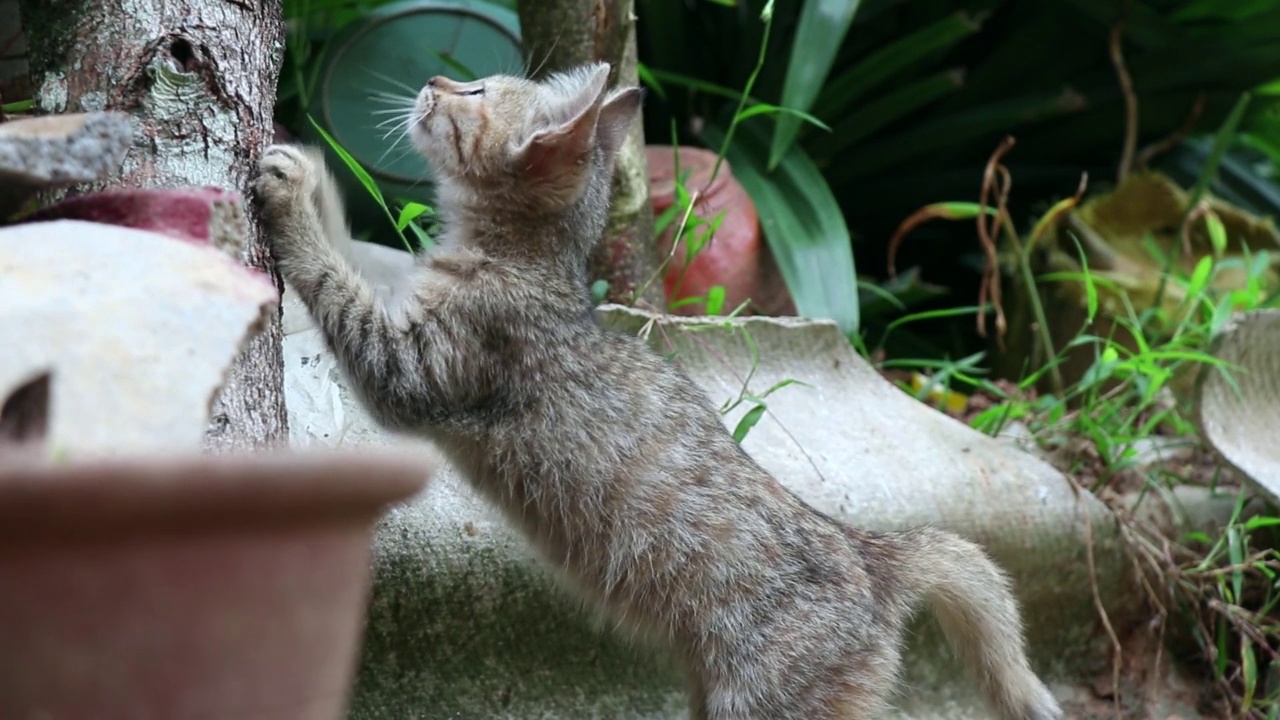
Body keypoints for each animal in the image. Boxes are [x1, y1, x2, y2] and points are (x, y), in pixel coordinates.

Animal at [249, 63, 1059, 717]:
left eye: (476, 91)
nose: (435, 80)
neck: (527, 263)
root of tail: (872, 554)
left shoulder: (410, 369)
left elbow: (337, 278)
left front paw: (296, 194)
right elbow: (355, 252)